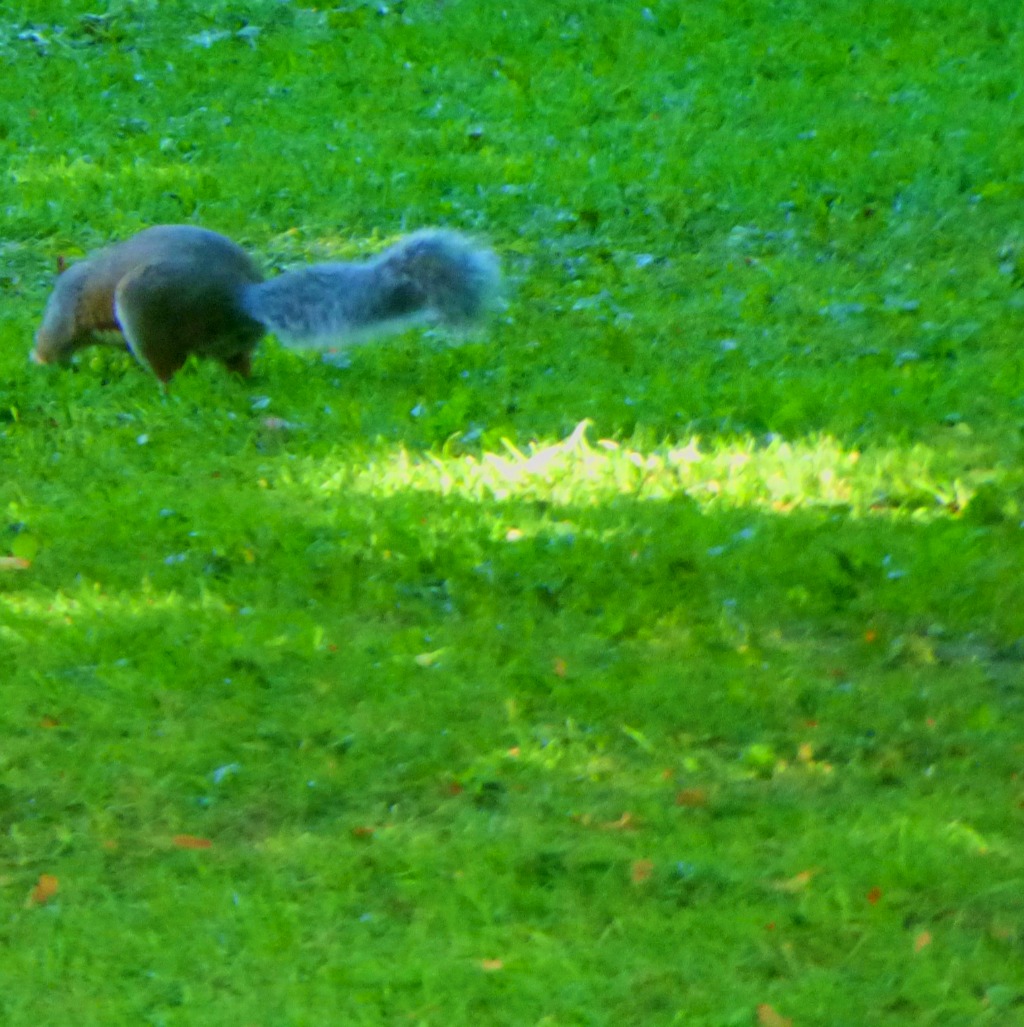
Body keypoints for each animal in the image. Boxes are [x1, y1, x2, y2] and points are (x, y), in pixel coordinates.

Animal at [32, 224, 500, 384]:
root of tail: (241, 297)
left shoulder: (65, 311)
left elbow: (53, 340)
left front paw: (40, 362)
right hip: (226, 344)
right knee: (239, 366)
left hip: (143, 309)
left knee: (168, 372)